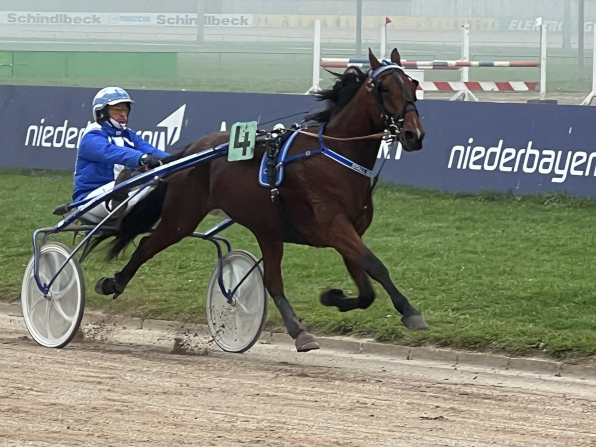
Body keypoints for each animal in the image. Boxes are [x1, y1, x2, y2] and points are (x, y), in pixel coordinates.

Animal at [94, 50, 428, 354]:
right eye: (384, 88)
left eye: (413, 84)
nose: (414, 135)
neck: (335, 157)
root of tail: (193, 149)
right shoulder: (336, 228)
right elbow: (377, 266)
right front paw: (411, 313)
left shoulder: (349, 233)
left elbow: (366, 290)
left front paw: (332, 297)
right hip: (182, 217)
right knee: (147, 245)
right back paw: (113, 283)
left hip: (267, 230)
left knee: (272, 282)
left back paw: (299, 331)